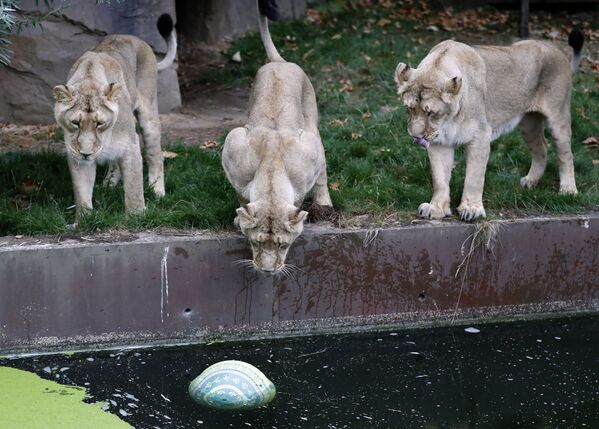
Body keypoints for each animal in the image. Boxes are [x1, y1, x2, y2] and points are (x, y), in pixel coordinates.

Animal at [53, 13, 177, 214]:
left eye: (99, 123)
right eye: (75, 123)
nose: (86, 153)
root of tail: (135, 38)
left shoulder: (130, 145)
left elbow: (134, 190)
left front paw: (137, 216)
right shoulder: (76, 154)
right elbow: (82, 193)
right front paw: (84, 218)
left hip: (149, 112)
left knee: (156, 155)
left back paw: (158, 192)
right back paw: (108, 185)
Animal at [221, 0, 332, 272]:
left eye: (283, 245)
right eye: (256, 242)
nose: (268, 270)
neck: (271, 172)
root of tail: (280, 61)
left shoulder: (309, 152)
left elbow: (304, 193)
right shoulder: (233, 146)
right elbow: (242, 198)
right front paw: (239, 219)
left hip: (311, 121)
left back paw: (324, 204)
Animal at [396, 30, 584, 221]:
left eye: (431, 112)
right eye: (409, 108)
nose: (416, 137)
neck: (448, 120)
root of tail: (558, 51)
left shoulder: (480, 136)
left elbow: (474, 177)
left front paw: (471, 209)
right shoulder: (439, 142)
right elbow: (440, 178)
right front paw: (436, 208)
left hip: (558, 117)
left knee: (566, 155)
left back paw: (568, 190)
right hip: (529, 124)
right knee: (542, 148)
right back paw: (531, 181)